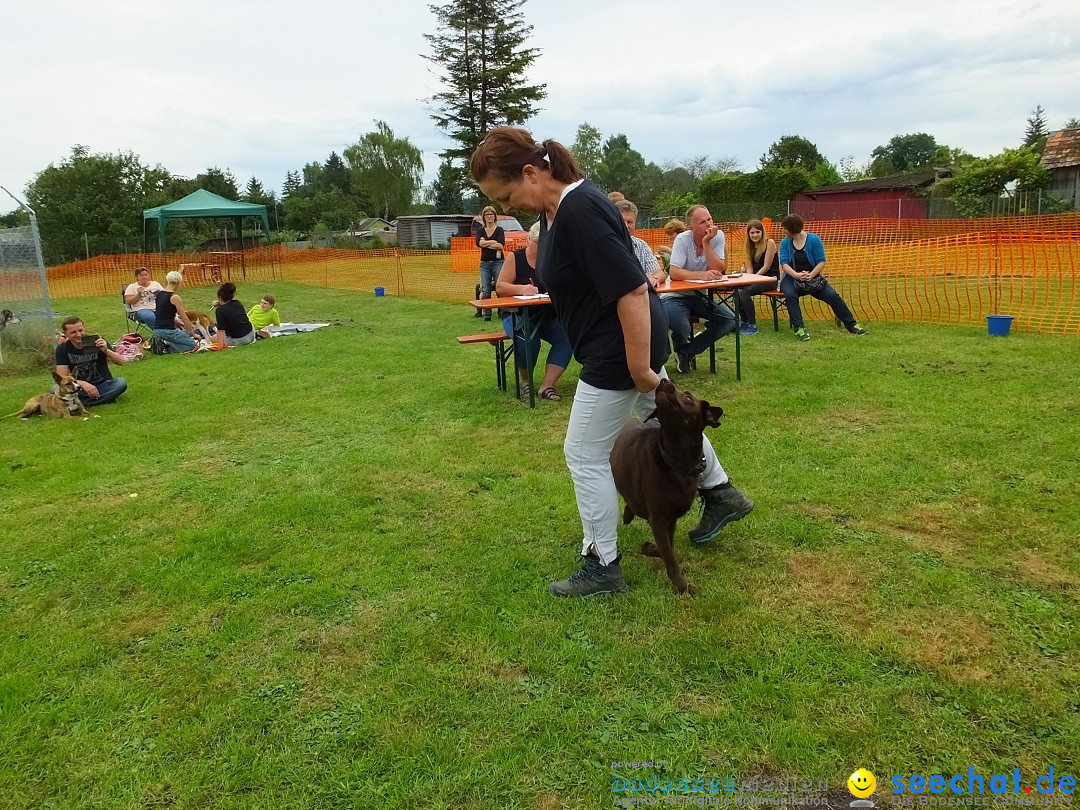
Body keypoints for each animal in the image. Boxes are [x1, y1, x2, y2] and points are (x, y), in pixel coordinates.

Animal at [613, 378, 721, 591]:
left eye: (687, 397)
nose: (664, 380)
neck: (676, 462)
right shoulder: (658, 518)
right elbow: (669, 556)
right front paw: (682, 587)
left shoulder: (670, 518)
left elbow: (668, 547)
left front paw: (649, 549)